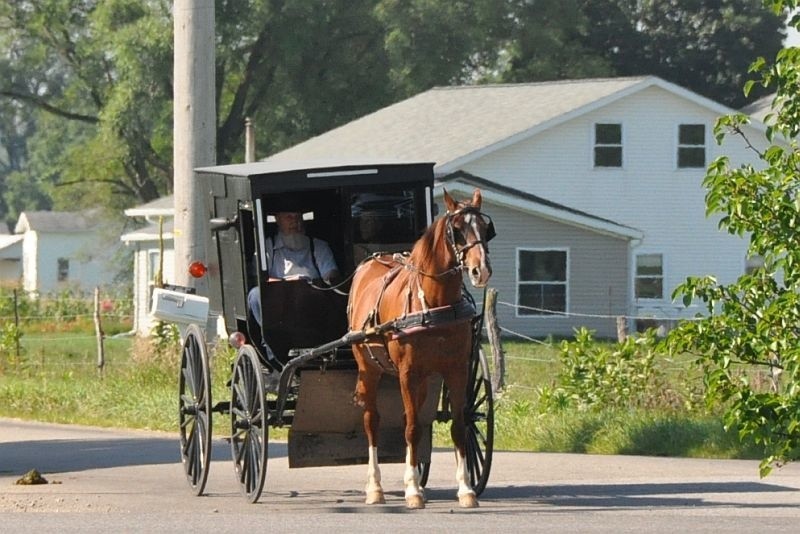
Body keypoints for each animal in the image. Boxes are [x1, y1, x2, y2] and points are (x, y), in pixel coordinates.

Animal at [348, 189, 494, 510]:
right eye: (457, 230)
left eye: (485, 228)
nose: (481, 270)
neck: (436, 304)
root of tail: (371, 261)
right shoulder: (408, 372)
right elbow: (412, 428)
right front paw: (413, 491)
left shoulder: (456, 369)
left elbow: (458, 425)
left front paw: (466, 489)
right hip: (369, 368)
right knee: (372, 421)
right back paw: (375, 487)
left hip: (425, 378)